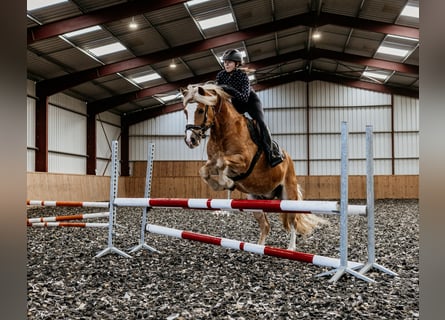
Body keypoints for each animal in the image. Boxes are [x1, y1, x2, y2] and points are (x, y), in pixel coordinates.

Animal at [179, 82, 324, 250]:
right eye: (185, 111)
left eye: (201, 110)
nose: (190, 140)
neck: (224, 131)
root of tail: (289, 159)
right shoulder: (212, 162)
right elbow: (204, 170)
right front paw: (222, 184)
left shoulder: (244, 161)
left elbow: (223, 163)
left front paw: (227, 182)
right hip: (254, 200)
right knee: (265, 225)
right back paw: (258, 248)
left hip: (289, 195)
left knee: (292, 222)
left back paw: (291, 248)